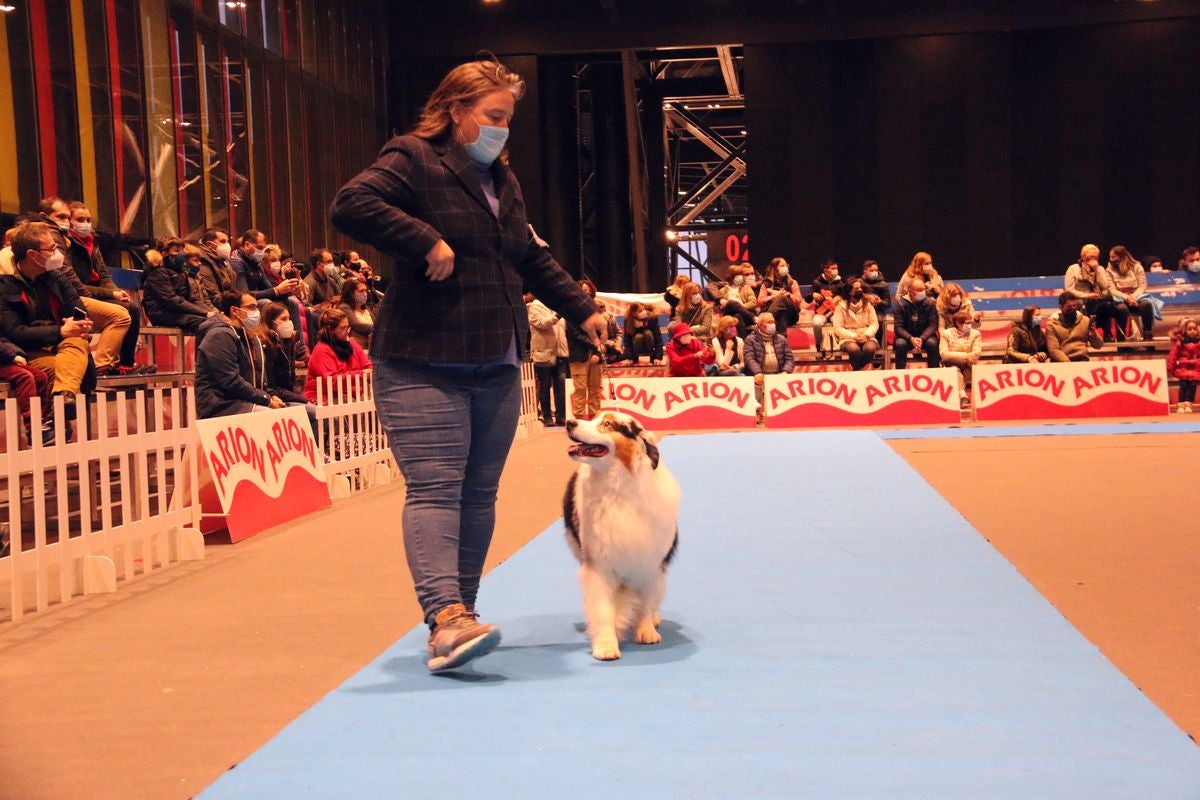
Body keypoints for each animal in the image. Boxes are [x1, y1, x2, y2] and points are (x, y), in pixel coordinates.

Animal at [559, 410, 676, 662]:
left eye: (607, 424)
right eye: (593, 417)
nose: (569, 422)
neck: (619, 487)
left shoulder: (650, 563)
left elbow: (645, 602)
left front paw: (646, 631)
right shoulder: (598, 565)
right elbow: (602, 609)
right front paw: (605, 645)